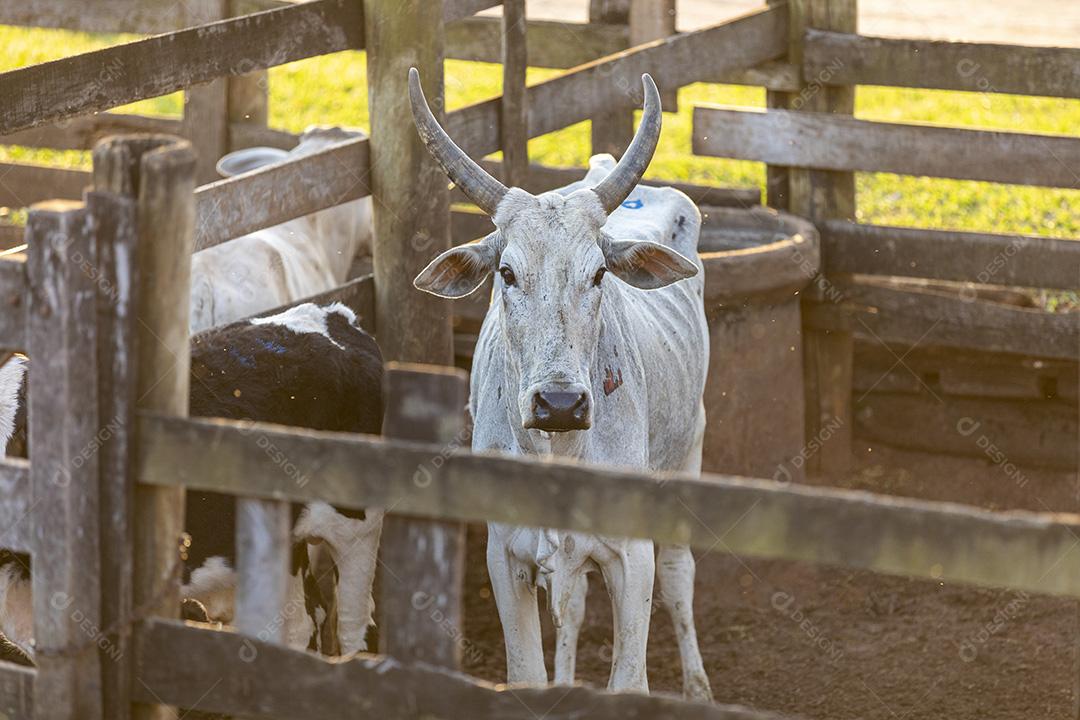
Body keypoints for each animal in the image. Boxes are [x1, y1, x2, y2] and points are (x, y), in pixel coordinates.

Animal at [409, 69, 713, 701]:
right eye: (506, 272)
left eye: (598, 273)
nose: (560, 403)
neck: (559, 452)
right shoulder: (506, 555)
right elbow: (528, 668)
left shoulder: (633, 556)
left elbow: (630, 677)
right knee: (572, 607)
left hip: (688, 451)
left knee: (680, 576)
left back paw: (699, 688)